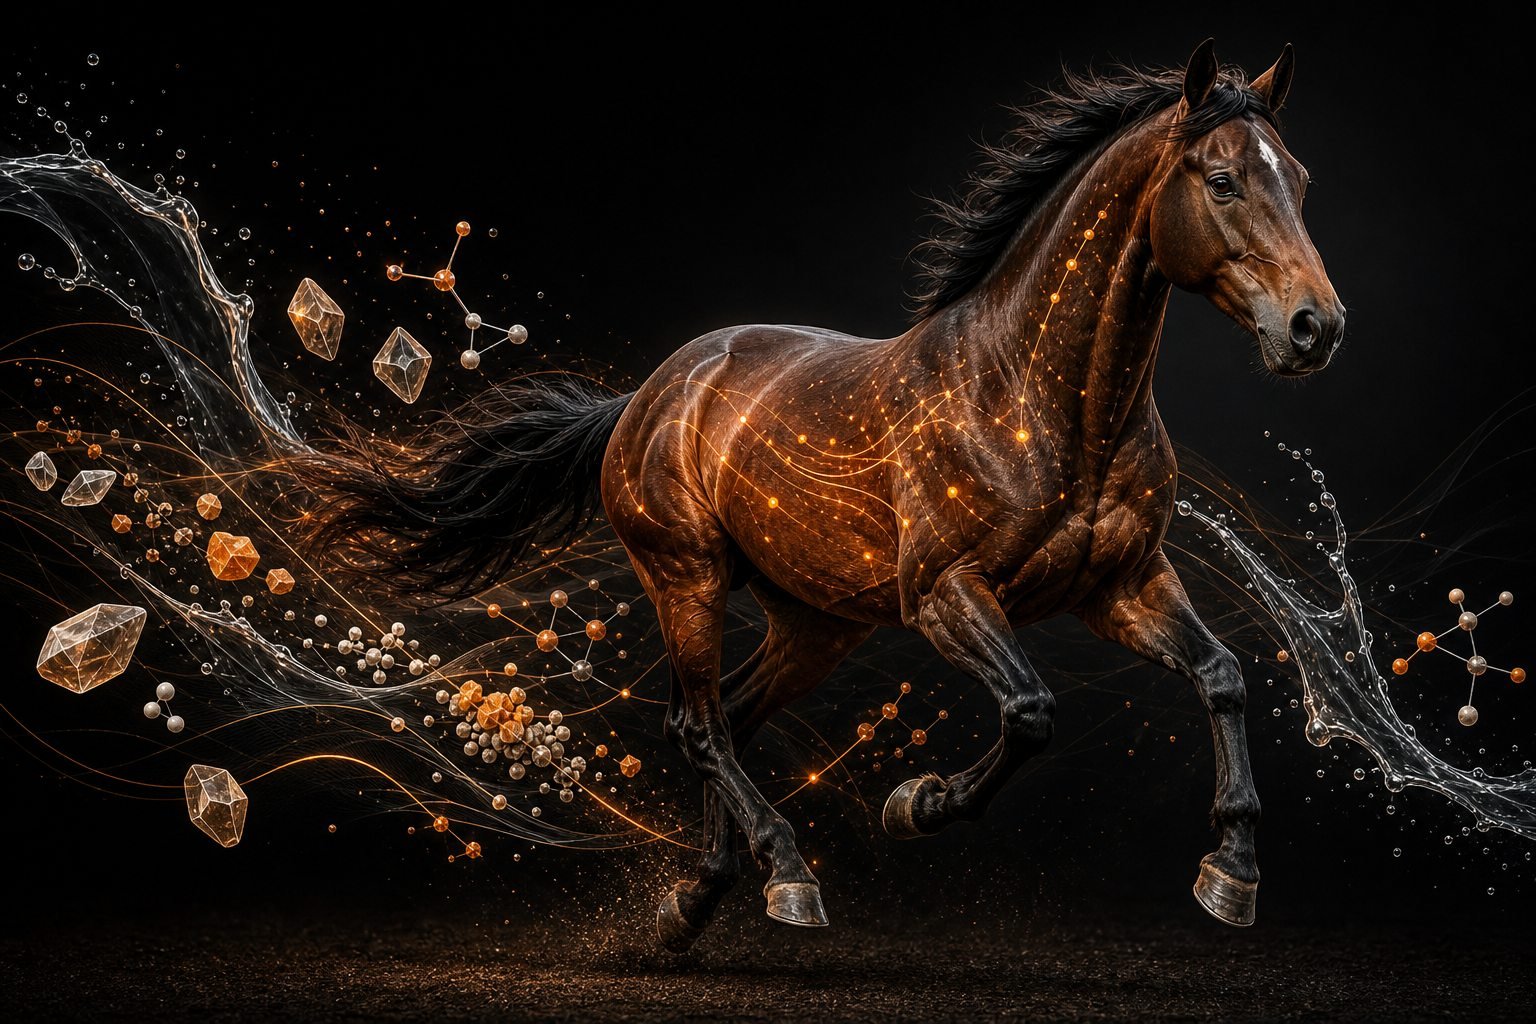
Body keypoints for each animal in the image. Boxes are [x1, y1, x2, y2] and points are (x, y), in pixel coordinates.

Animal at [302, 39, 1344, 952]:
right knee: (699, 723)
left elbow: (1222, 675)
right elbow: (1030, 710)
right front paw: (916, 804)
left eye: (1298, 178)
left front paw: (1231, 875)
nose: (1315, 328)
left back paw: (699, 900)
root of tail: (643, 398)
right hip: (687, 576)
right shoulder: (946, 595)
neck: (1043, 400)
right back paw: (784, 877)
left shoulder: (1121, 585)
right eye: (1221, 179)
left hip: (816, 623)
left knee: (733, 715)